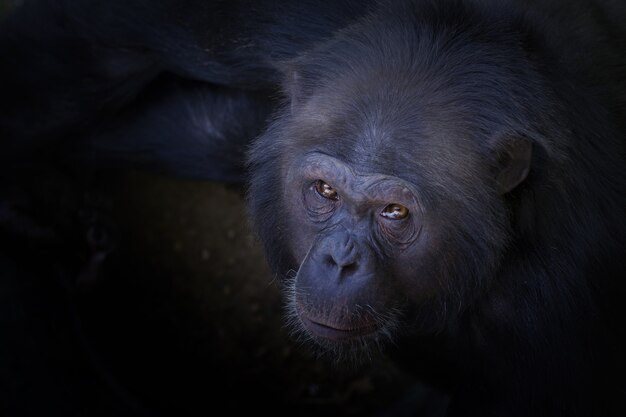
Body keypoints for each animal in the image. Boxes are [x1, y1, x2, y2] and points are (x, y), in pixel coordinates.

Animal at [1, 0, 624, 416]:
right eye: (326, 193)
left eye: (395, 214)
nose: (340, 260)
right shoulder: (294, 24)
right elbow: (106, 37)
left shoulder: (552, 305)